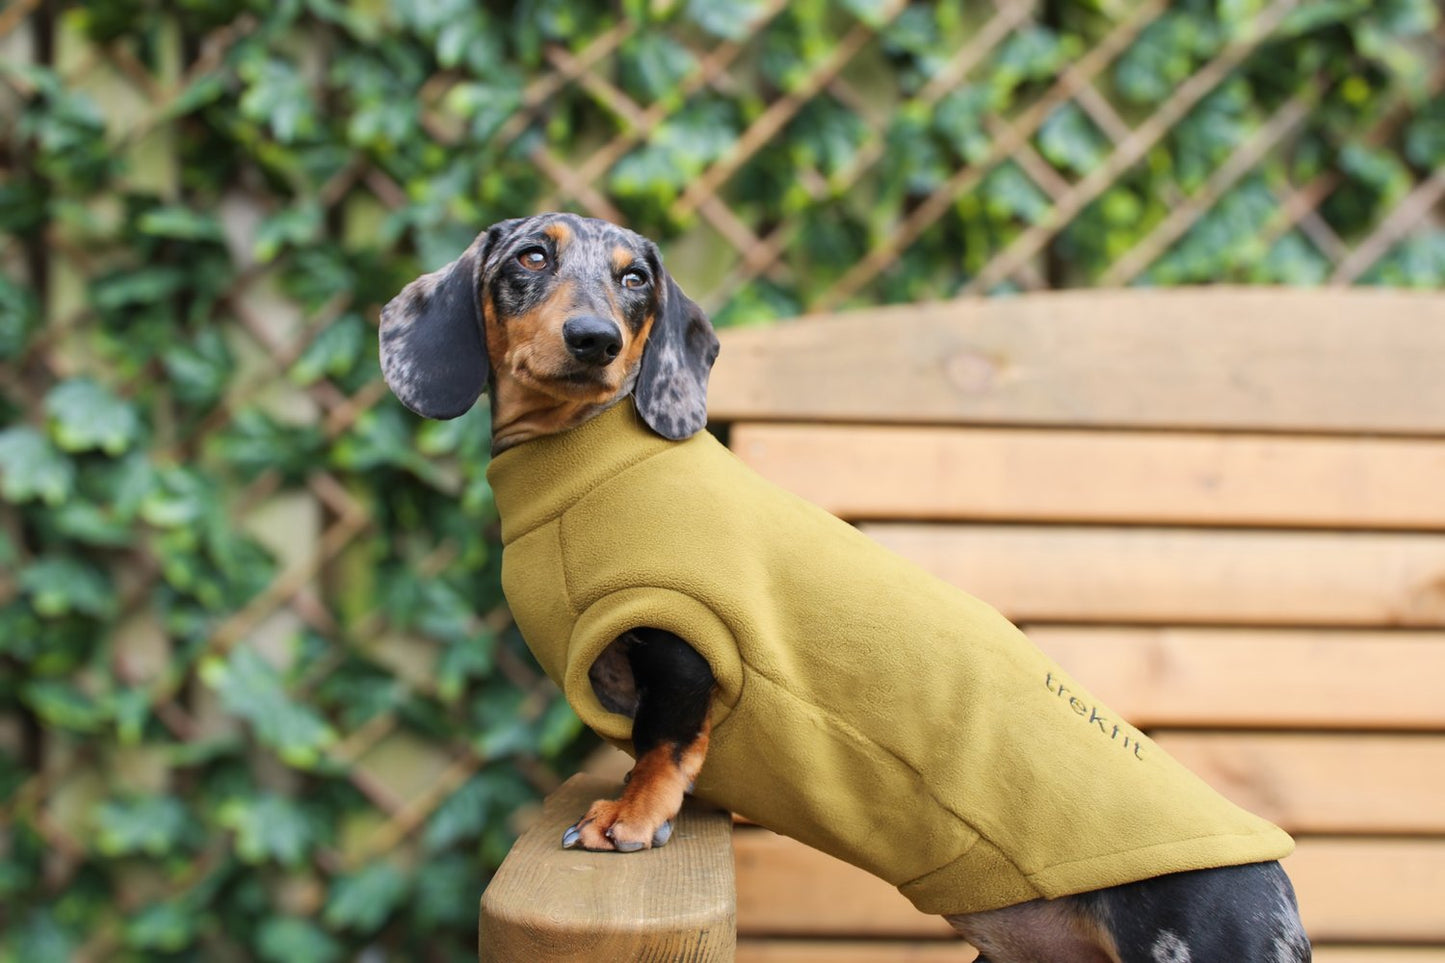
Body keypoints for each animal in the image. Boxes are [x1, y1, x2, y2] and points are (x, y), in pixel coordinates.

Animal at [381, 212, 1312, 960]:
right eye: (531, 256)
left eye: (635, 278)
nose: (593, 340)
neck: (582, 462)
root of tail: (1276, 885)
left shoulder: (687, 640)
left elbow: (661, 742)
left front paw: (629, 818)